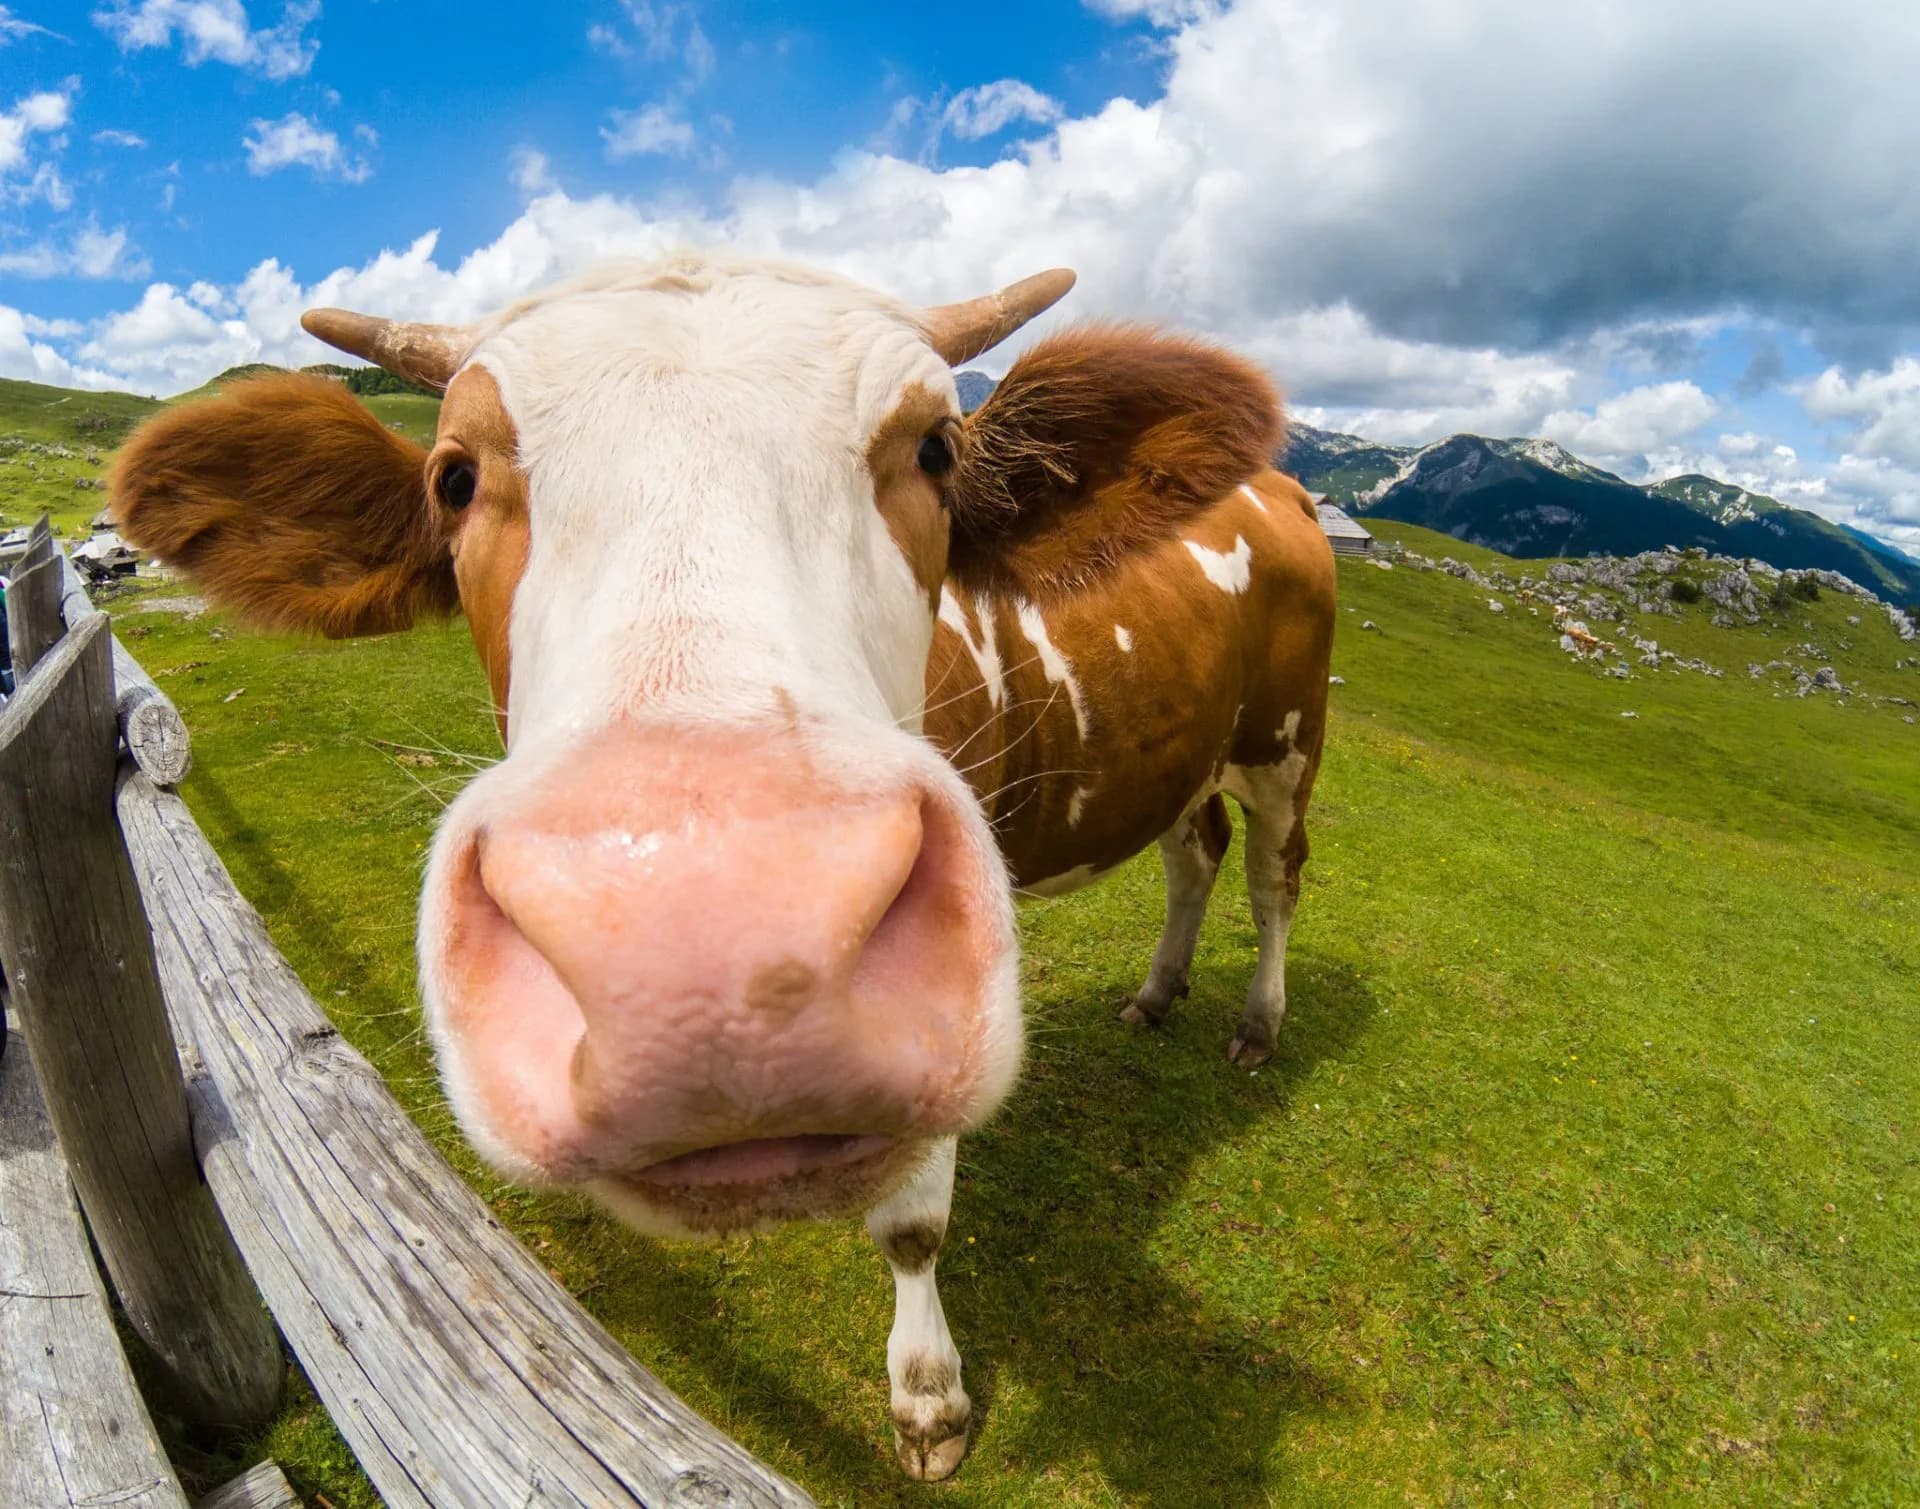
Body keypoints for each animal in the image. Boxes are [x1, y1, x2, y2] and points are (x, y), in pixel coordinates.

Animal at [110, 254, 1334, 1480]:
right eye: (453, 479)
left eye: (938, 449)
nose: (708, 941)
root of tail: (1280, 489)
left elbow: (912, 1223)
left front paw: (929, 1398)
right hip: (1185, 754)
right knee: (1195, 851)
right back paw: (1158, 993)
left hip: (1286, 740)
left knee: (1274, 877)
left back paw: (1257, 1023)